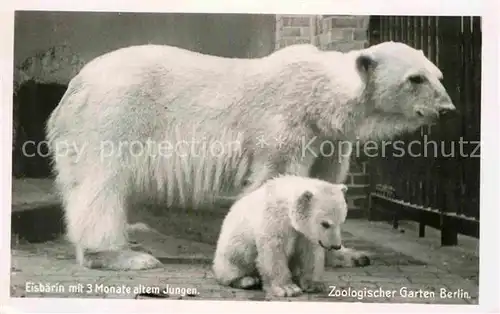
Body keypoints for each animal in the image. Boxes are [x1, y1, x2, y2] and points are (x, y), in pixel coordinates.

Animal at [45, 40, 456, 270]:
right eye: (415, 78)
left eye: (439, 75)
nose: (448, 109)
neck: (322, 98)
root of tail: (71, 88)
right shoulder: (286, 125)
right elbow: (274, 182)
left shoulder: (329, 139)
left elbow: (324, 186)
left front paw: (347, 254)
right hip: (114, 118)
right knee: (101, 187)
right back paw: (122, 255)